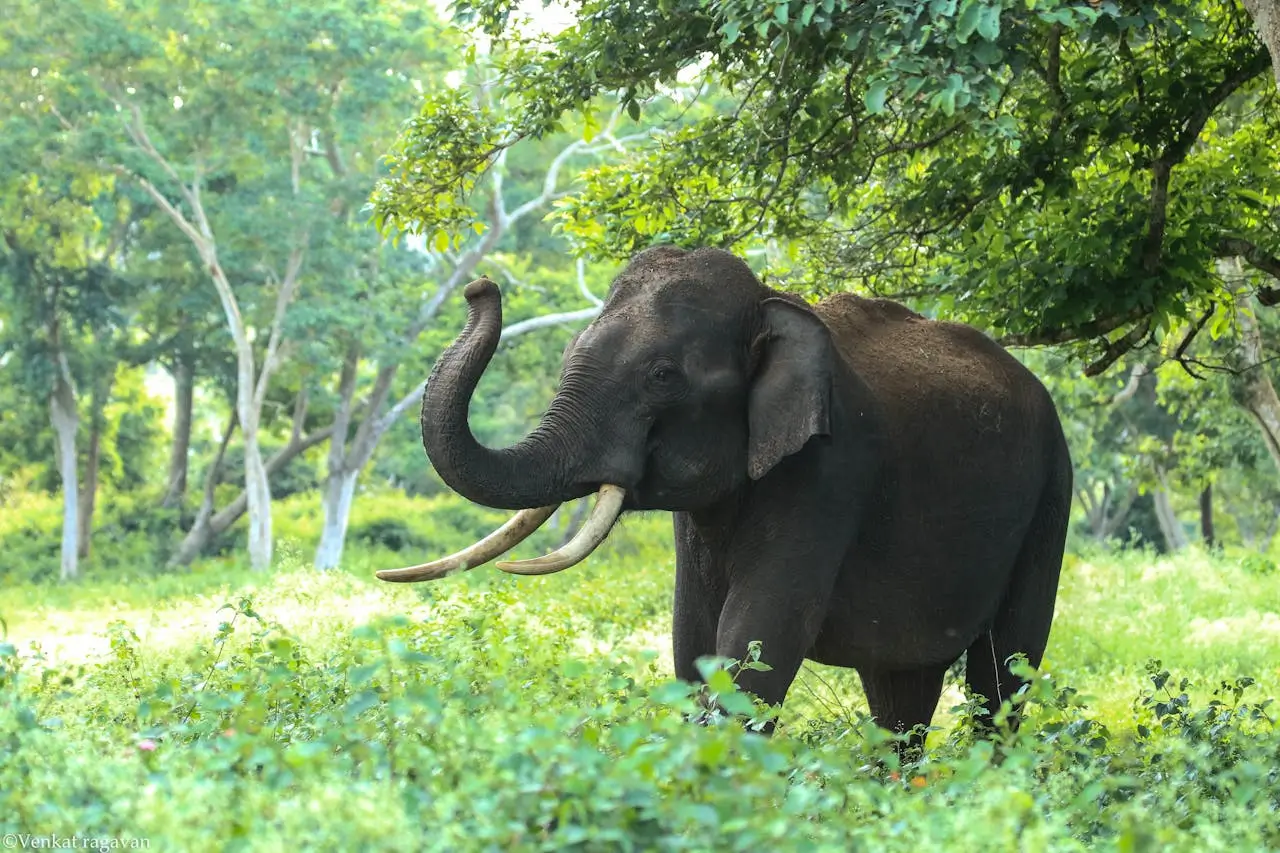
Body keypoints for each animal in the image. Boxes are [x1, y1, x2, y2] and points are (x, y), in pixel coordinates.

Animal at [379, 245, 1072, 743]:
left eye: (662, 376)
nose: (479, 286)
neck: (771, 302)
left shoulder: (830, 472)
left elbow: (757, 641)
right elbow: (694, 642)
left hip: (1052, 494)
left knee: (1003, 672)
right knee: (900, 692)